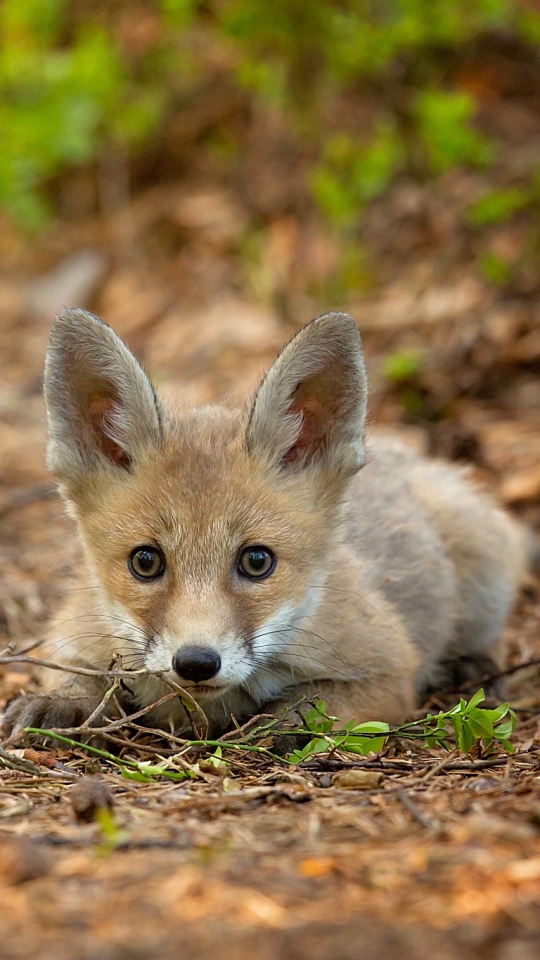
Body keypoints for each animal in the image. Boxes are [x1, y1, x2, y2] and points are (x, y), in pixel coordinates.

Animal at [0, 312, 532, 740]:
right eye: (145, 561)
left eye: (257, 561)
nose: (196, 662)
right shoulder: (74, 631)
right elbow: (73, 673)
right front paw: (58, 703)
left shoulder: (389, 667)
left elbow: (314, 703)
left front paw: (277, 723)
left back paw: (475, 668)